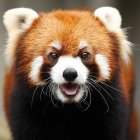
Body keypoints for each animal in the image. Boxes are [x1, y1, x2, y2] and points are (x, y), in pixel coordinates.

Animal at [2, 6, 137, 140]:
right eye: (53, 55)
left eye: (84, 54)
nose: (70, 73)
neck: (69, 108)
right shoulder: (25, 109)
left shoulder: (112, 108)